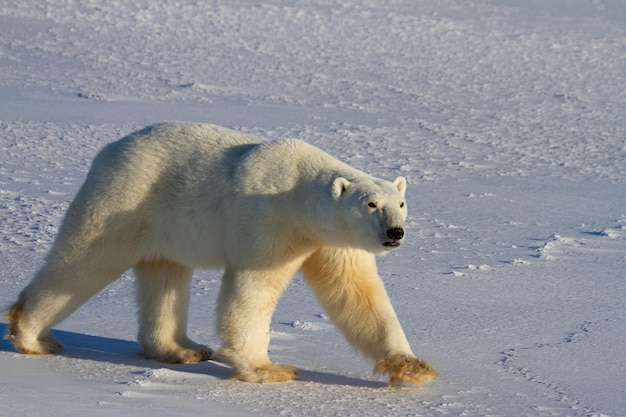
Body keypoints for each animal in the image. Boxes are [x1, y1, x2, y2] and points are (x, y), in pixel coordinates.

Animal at [6, 122, 434, 386]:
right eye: (371, 204)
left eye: (401, 203)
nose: (395, 232)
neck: (298, 192)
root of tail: (109, 150)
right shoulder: (268, 221)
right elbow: (251, 291)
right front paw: (268, 369)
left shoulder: (328, 242)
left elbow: (358, 295)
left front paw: (413, 366)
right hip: (127, 198)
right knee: (86, 260)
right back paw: (34, 337)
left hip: (163, 224)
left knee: (165, 275)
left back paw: (183, 349)